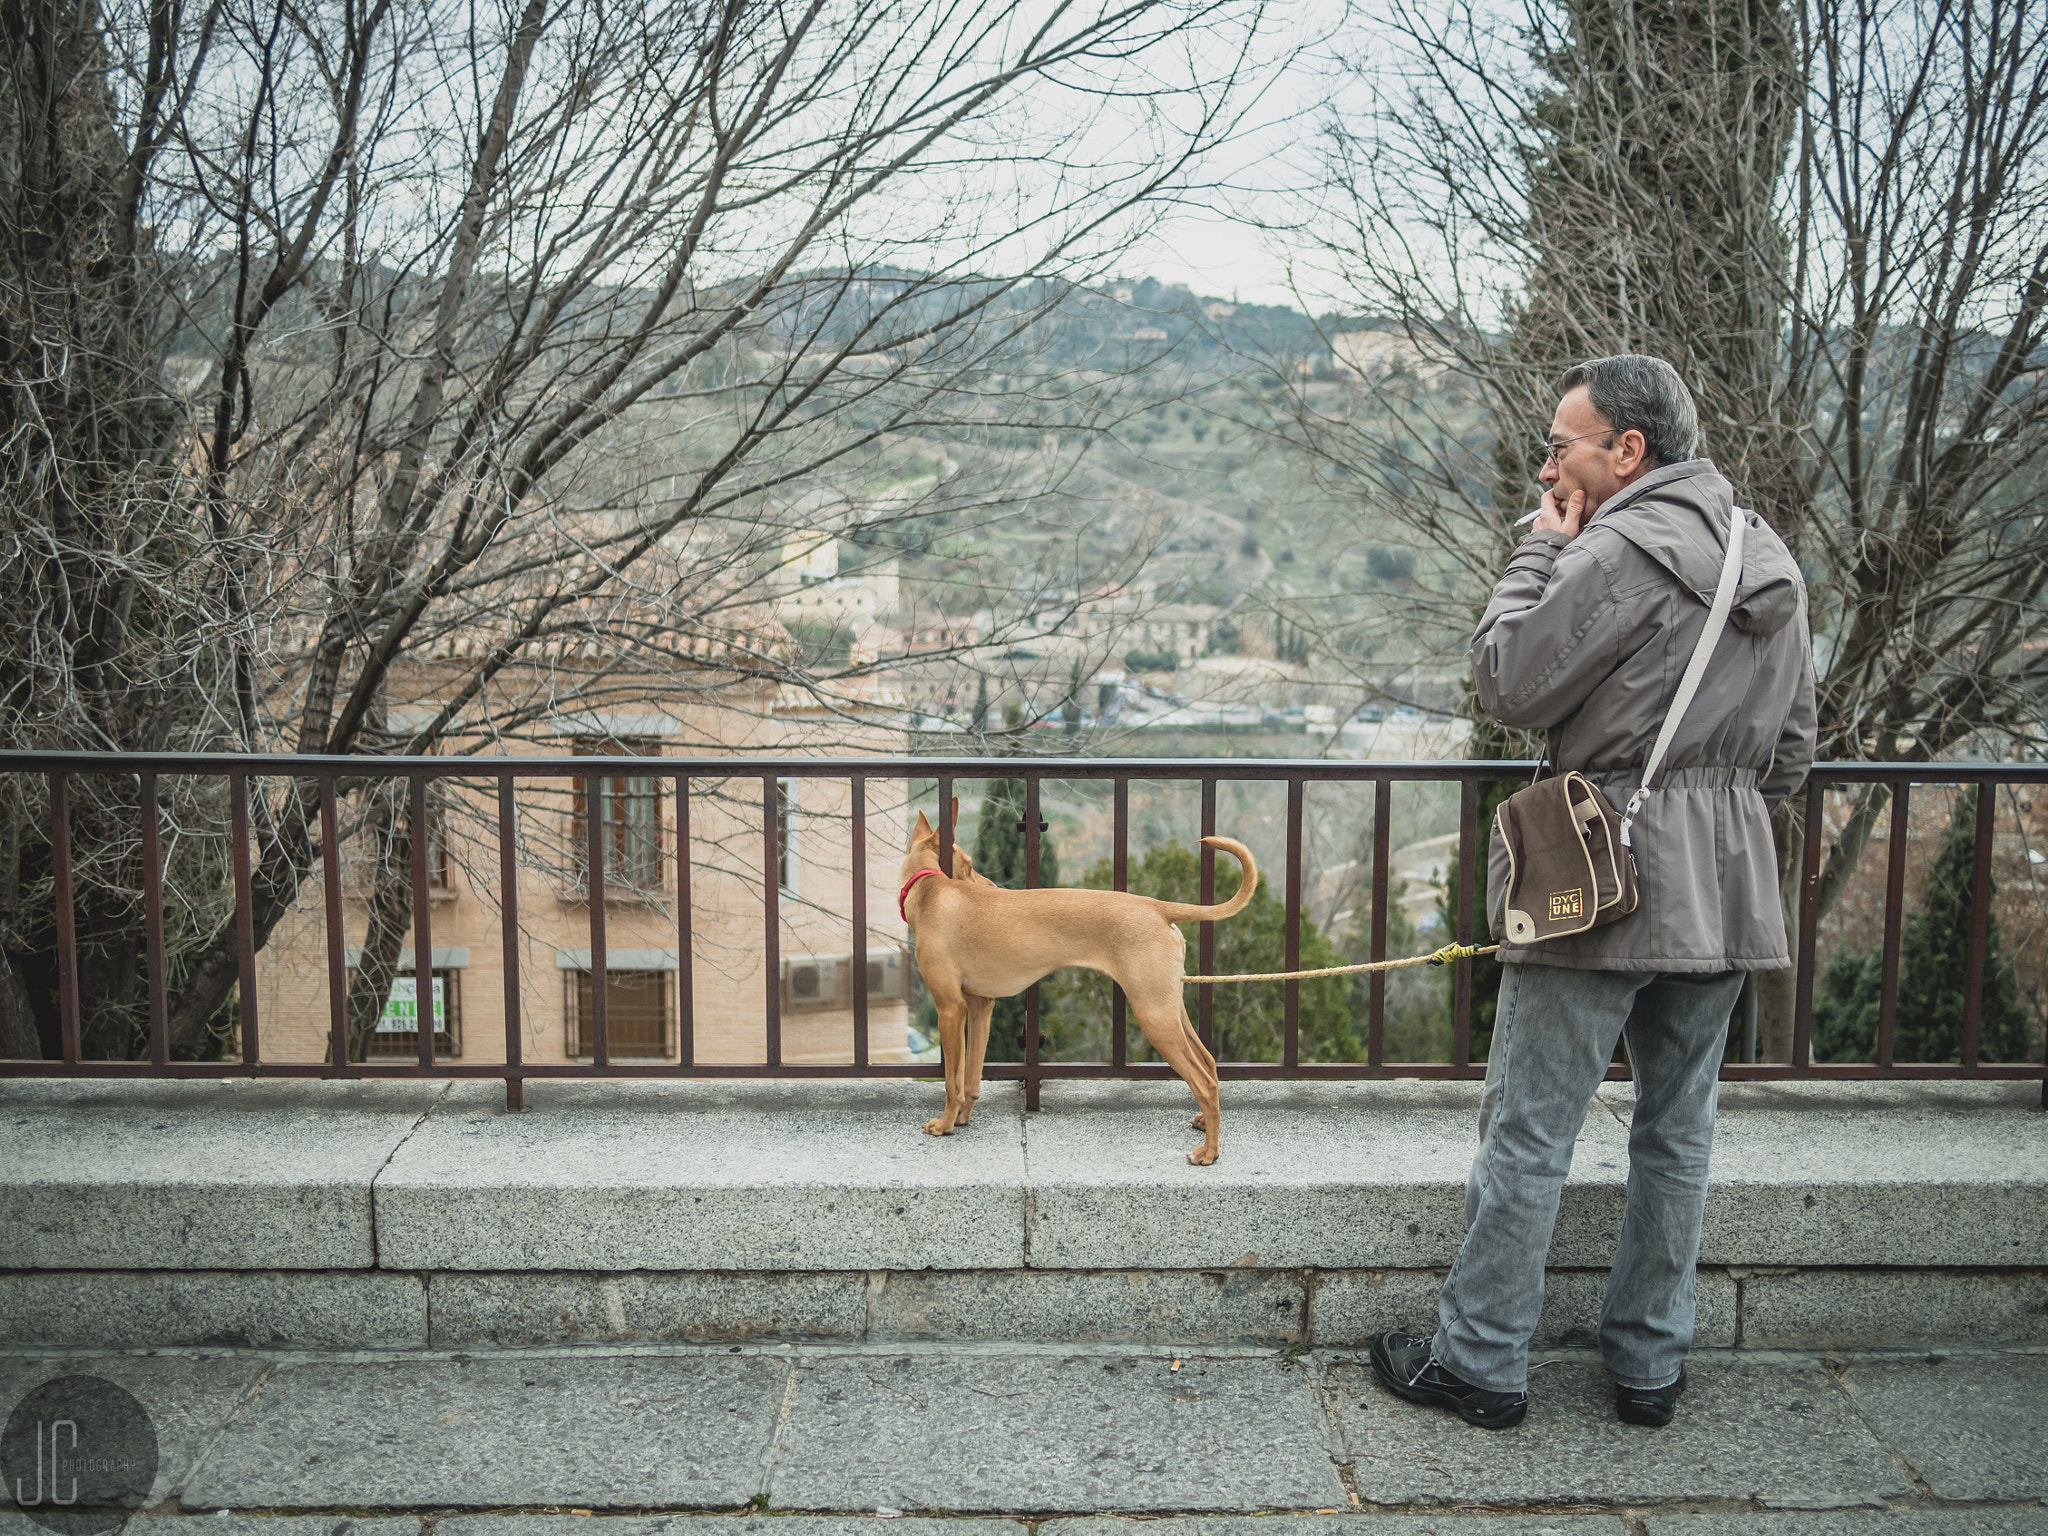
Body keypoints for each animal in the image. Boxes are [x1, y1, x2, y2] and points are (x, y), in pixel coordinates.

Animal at [901, 806, 1253, 1163]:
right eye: (970, 864)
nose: (993, 886)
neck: (930, 889)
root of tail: (1155, 907)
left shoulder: (950, 1009)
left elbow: (951, 1081)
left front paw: (945, 1124)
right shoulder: (979, 1006)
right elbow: (970, 1078)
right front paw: (962, 1118)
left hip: (1154, 1015)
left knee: (1203, 1081)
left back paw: (1210, 1151)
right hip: (1167, 1007)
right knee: (1209, 1064)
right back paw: (1205, 1122)